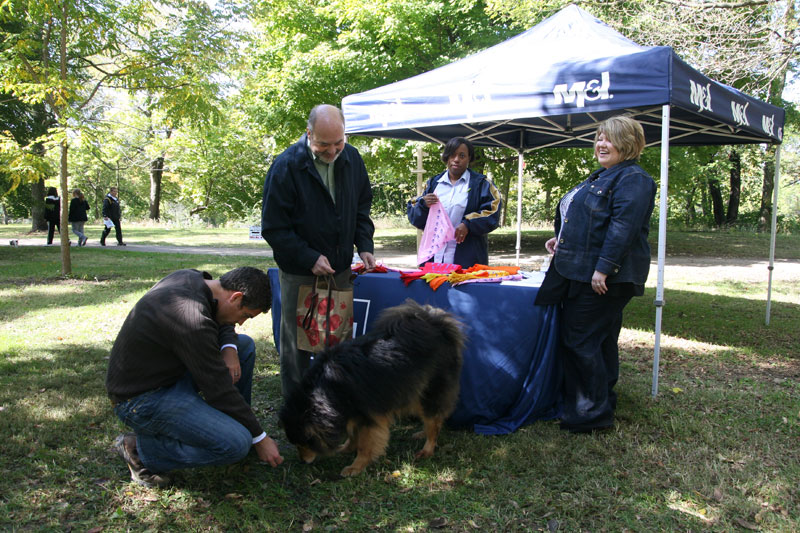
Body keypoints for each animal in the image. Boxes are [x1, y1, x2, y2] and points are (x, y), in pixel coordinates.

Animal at [280, 298, 462, 476]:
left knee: (434, 420)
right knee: (434, 418)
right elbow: (353, 436)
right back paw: (422, 433)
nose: (302, 461)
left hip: (431, 390)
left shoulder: (369, 415)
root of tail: (437, 325)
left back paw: (427, 449)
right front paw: (346, 449)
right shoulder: (351, 411)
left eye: (305, 442)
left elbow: (365, 444)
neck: (327, 388)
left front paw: (356, 466)